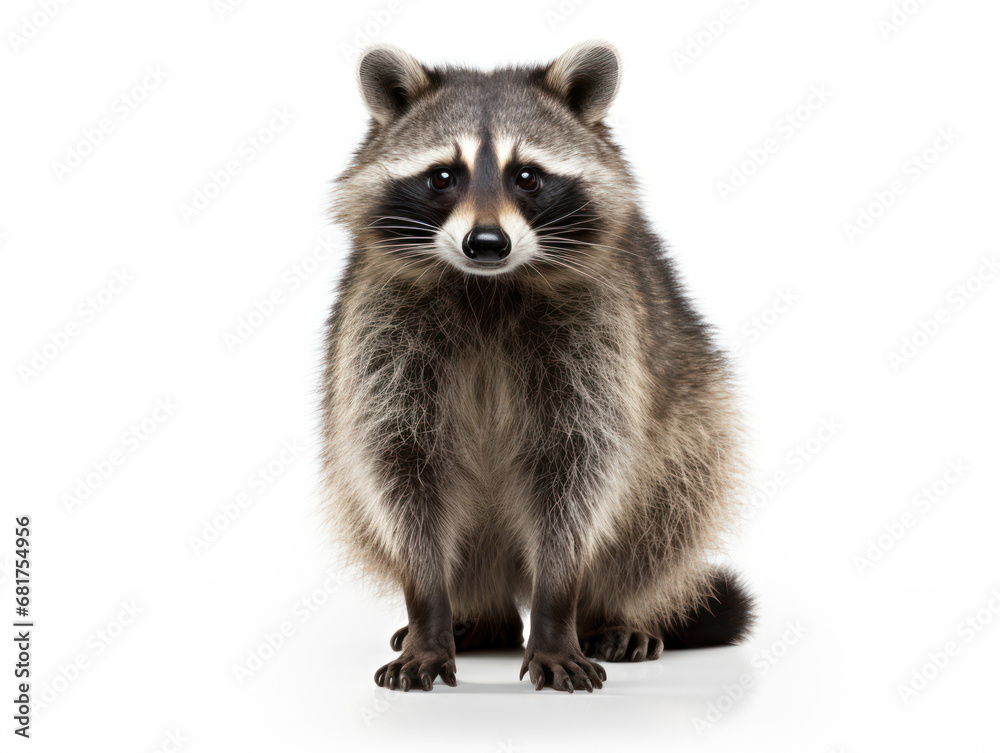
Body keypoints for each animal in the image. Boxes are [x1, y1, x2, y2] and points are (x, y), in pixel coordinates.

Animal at [321, 41, 754, 693]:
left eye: (526, 176)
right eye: (443, 176)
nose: (486, 243)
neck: (487, 288)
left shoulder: (602, 333)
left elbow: (579, 471)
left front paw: (557, 611)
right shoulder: (379, 330)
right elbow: (399, 466)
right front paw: (427, 611)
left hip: (698, 418)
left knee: (668, 511)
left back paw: (610, 611)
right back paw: (479, 614)